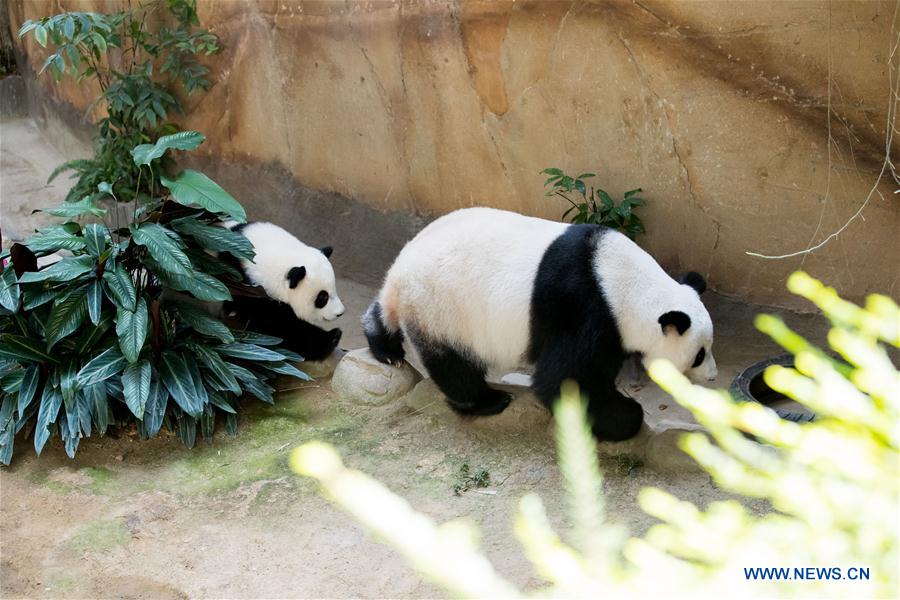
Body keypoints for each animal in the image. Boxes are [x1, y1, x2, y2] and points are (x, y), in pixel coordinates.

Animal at [227, 220, 346, 360]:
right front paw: (332, 337)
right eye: (322, 297)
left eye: (334, 288)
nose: (340, 313)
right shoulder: (253, 289)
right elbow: (282, 329)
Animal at [362, 207, 712, 440]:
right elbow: (565, 381)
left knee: (383, 312)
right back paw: (486, 401)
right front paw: (626, 416)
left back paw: (385, 348)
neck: (626, 284)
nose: (711, 376)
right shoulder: (586, 308)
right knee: (453, 363)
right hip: (442, 308)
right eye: (699, 354)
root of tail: (401, 275)